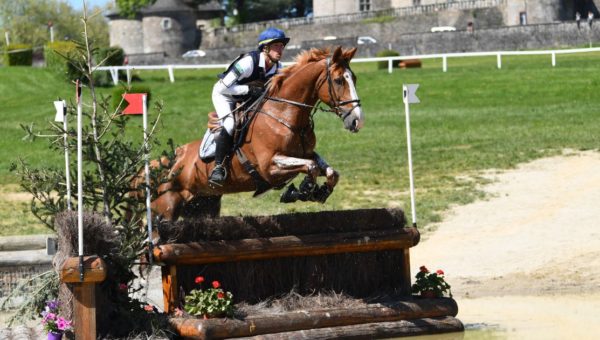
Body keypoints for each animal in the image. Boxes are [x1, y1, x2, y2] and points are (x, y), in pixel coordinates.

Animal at [148, 46, 364, 222]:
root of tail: (163, 163)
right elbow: (310, 167)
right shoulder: (269, 166)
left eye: (354, 78)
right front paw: (299, 191)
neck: (284, 114)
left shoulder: (306, 154)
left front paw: (317, 192)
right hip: (166, 209)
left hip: (203, 205)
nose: (357, 120)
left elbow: (329, 171)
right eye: (338, 80)